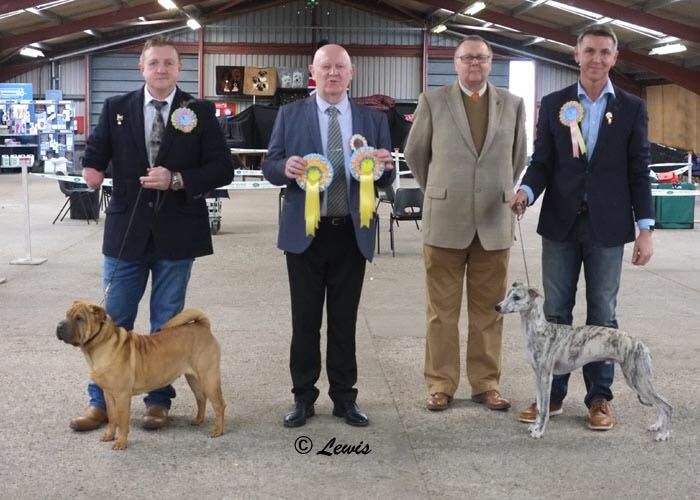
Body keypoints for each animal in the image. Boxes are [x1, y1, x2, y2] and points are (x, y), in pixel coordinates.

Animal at [494, 284, 668, 440]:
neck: (539, 330)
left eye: (517, 297)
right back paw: (657, 427)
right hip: (639, 381)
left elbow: (544, 409)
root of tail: (641, 344)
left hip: (638, 380)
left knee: (666, 405)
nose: (497, 307)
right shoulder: (537, 376)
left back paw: (663, 434)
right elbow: (539, 407)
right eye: (508, 294)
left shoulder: (546, 377)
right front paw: (535, 426)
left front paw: (540, 431)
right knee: (661, 405)